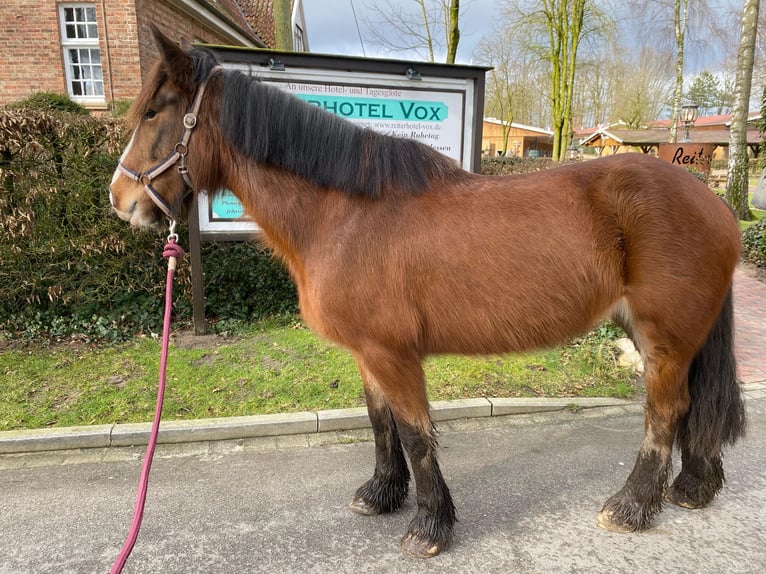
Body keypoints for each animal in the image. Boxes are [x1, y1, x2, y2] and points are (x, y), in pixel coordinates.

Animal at [111, 28, 748, 564]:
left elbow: (416, 431)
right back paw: (693, 486)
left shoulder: (393, 354)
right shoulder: (367, 353)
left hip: (663, 338)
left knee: (665, 411)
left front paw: (429, 525)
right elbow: (380, 422)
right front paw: (380, 493)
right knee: (692, 406)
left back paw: (632, 505)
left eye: (153, 112)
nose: (122, 200)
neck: (345, 214)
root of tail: (714, 203)